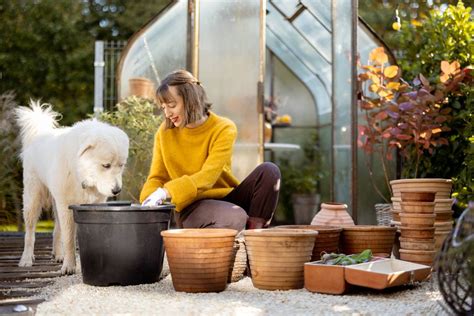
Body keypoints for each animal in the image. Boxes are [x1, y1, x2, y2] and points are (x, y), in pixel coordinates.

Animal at [15, 101, 130, 274]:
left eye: (121, 165)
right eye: (106, 165)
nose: (117, 190)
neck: (81, 174)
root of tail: (40, 134)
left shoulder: (93, 205)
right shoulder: (66, 205)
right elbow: (69, 238)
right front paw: (69, 267)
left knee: (56, 230)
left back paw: (58, 255)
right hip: (33, 199)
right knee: (30, 232)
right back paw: (26, 259)